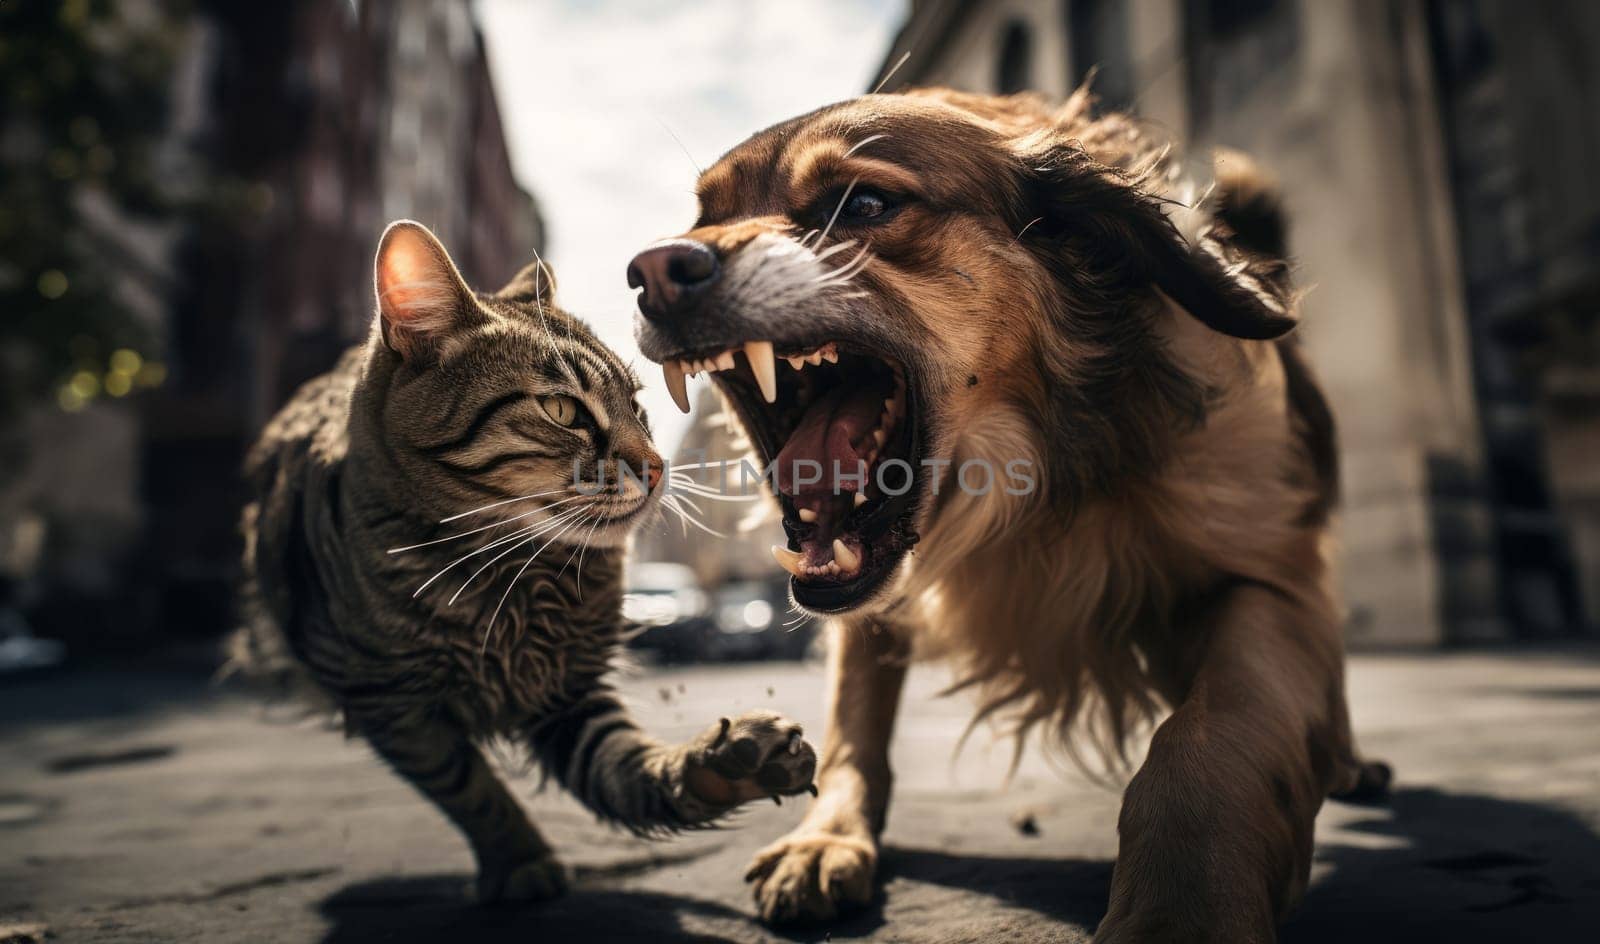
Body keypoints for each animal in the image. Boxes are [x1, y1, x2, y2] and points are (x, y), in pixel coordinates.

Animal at [233, 220, 819, 902]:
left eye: (637, 406)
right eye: (563, 411)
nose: (657, 467)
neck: (508, 577)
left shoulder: (571, 696)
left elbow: (635, 772)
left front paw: (721, 765)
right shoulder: (392, 706)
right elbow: (472, 790)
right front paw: (521, 860)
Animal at [624, 86, 1388, 940]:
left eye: (864, 204)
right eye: (699, 220)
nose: (655, 271)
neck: (1030, 486)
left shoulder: (1263, 582)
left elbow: (1207, 738)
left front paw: (1178, 910)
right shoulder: (875, 611)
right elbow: (853, 726)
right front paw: (826, 838)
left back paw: (1350, 762)